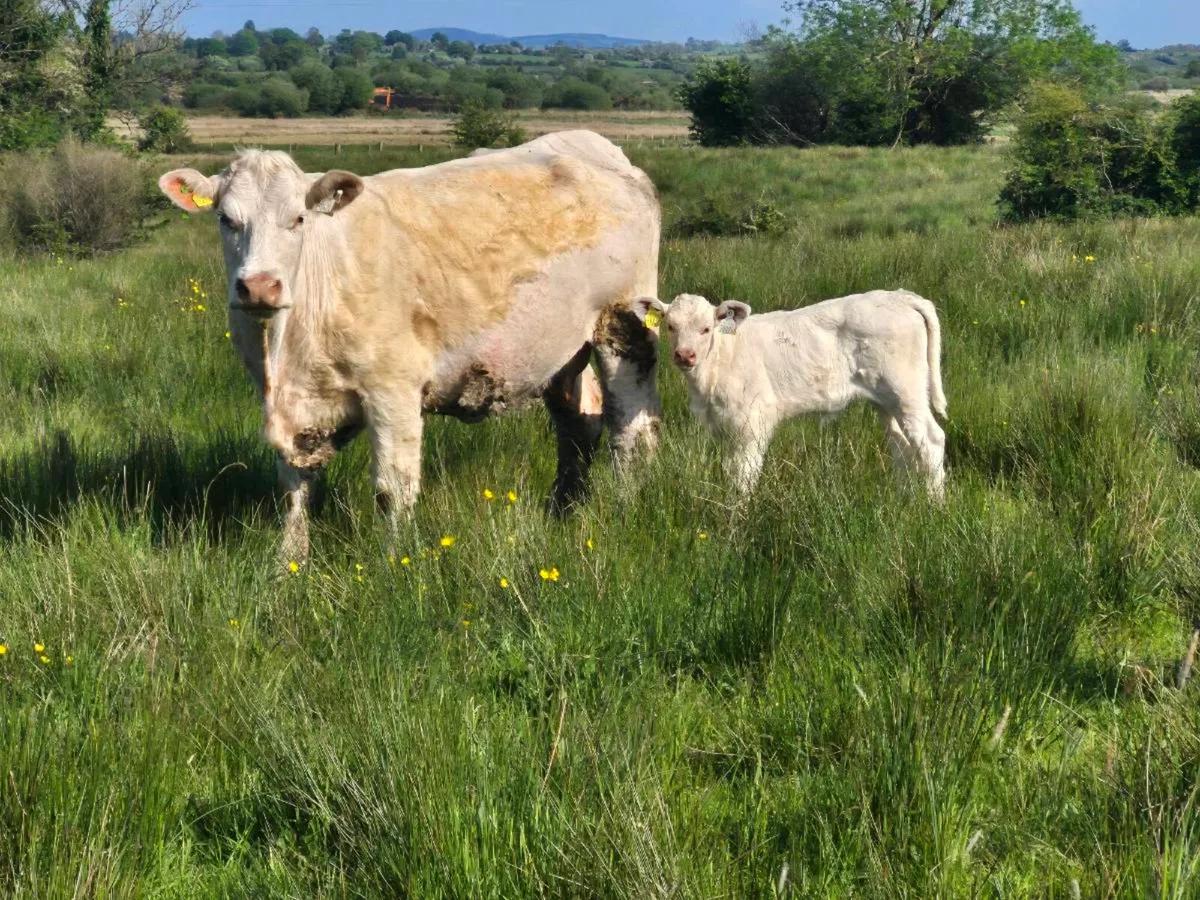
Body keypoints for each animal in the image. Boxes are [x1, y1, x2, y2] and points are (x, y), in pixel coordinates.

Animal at [158, 131, 662, 564]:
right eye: (226, 219)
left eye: (297, 219)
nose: (259, 286)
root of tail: (596, 146)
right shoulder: (292, 410)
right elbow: (294, 488)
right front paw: (289, 563)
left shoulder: (392, 390)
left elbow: (392, 489)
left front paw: (393, 565)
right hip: (560, 350)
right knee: (579, 422)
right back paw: (563, 510)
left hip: (623, 327)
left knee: (630, 430)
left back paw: (626, 508)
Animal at [632, 291, 947, 496]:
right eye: (670, 326)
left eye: (706, 329)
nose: (685, 355)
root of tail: (900, 296)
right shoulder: (723, 425)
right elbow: (730, 470)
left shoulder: (752, 424)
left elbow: (743, 476)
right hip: (886, 399)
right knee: (902, 446)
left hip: (906, 390)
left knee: (931, 441)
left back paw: (934, 505)